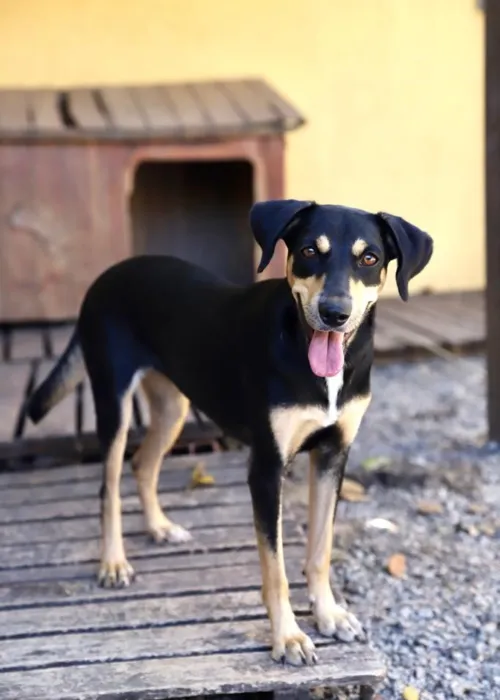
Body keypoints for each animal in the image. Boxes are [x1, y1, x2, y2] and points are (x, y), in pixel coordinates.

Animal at [28, 198, 434, 668]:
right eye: (309, 251)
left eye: (369, 258)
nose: (335, 313)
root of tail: (107, 275)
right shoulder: (267, 468)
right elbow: (275, 568)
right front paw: (288, 637)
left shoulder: (333, 455)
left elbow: (320, 549)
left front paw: (328, 614)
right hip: (114, 400)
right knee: (109, 485)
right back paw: (113, 563)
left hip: (174, 406)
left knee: (143, 464)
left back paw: (160, 527)